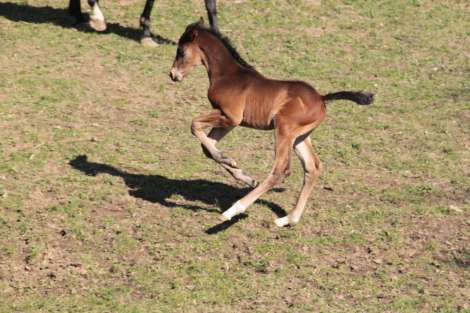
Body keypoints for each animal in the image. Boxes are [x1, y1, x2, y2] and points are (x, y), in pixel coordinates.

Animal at [170, 21, 374, 227]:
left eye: (181, 51)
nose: (173, 75)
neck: (227, 75)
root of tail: (322, 98)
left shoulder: (230, 116)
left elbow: (194, 125)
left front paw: (230, 161)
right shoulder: (230, 122)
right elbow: (207, 148)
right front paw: (244, 175)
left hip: (284, 129)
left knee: (281, 170)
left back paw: (232, 211)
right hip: (300, 137)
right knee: (312, 167)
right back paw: (288, 219)